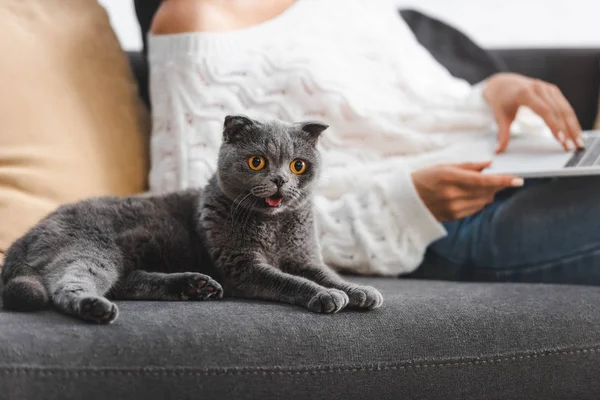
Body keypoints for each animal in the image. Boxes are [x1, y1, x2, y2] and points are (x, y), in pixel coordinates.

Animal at [0, 115, 382, 322]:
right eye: (257, 161)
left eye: (298, 165)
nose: (280, 180)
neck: (273, 226)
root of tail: (25, 236)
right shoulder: (242, 267)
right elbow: (289, 281)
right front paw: (326, 296)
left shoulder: (305, 257)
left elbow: (327, 273)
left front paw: (359, 291)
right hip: (92, 249)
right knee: (67, 285)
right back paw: (95, 307)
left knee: (125, 281)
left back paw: (194, 286)